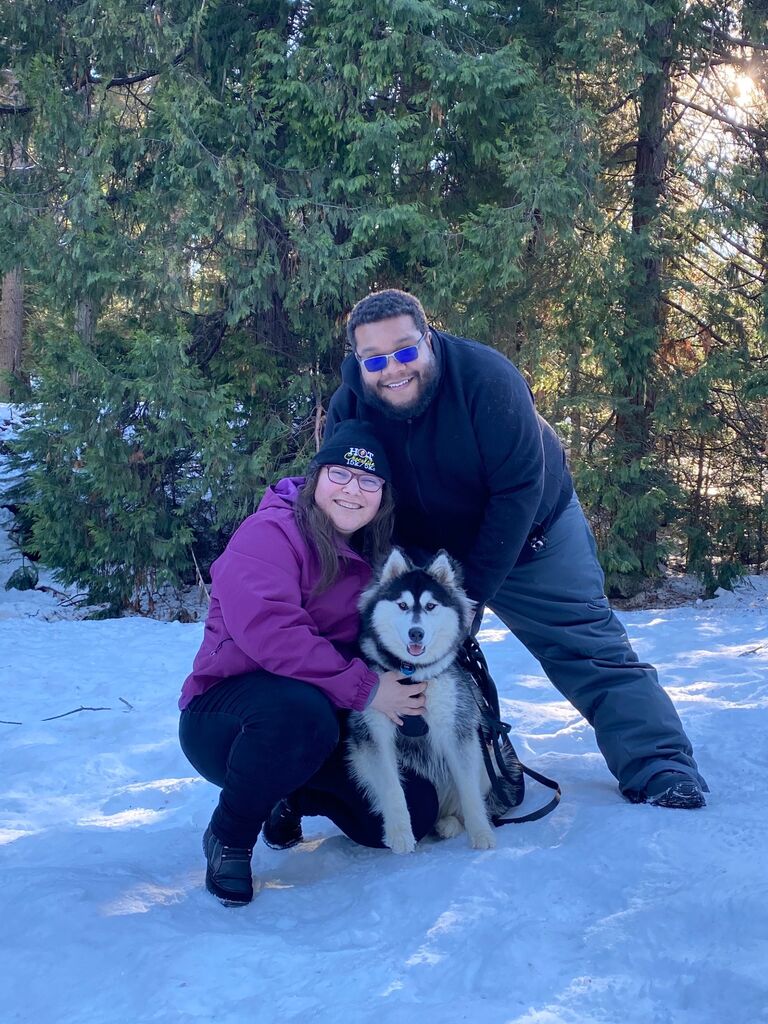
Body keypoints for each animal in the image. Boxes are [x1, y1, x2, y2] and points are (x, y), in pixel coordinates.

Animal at [348, 548, 499, 851]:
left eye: (430, 606)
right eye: (402, 605)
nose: (415, 633)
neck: (412, 674)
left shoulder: (456, 727)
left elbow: (469, 790)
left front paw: (481, 833)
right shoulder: (374, 730)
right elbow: (392, 787)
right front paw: (399, 834)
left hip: (486, 757)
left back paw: (450, 823)